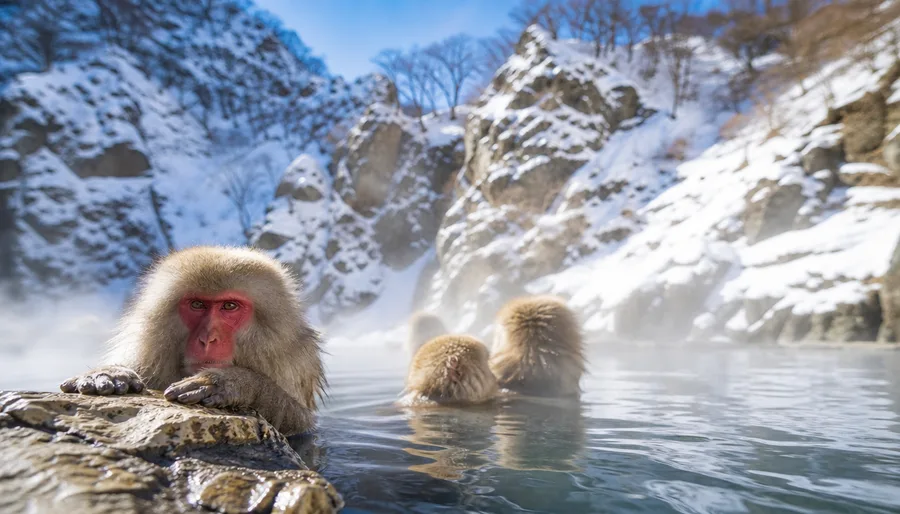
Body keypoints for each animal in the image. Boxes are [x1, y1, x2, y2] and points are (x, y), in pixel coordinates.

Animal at [60, 246, 325, 436]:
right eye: (197, 304)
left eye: (229, 306)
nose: (208, 338)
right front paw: (110, 373)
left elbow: (301, 422)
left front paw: (233, 382)